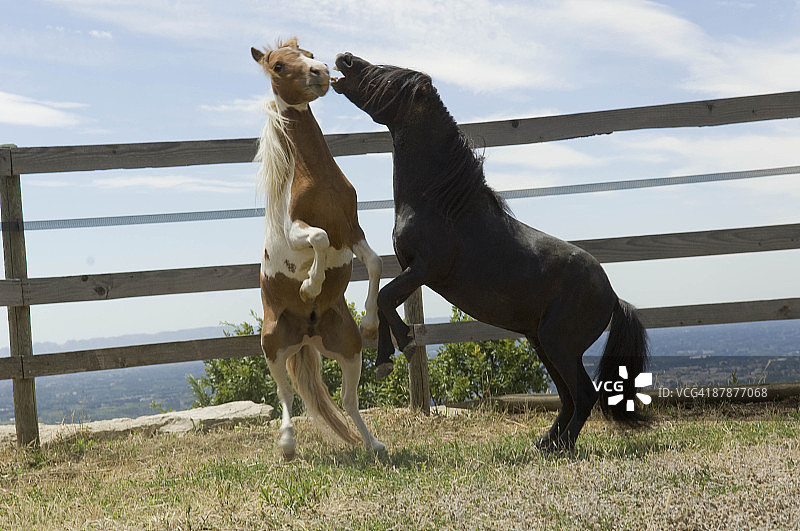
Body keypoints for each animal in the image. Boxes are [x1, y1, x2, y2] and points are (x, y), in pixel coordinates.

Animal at [250, 39, 385, 459]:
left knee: (347, 401)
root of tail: (307, 338)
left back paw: (374, 444)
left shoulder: (351, 228)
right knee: (286, 395)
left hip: (348, 348)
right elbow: (319, 240)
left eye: (307, 53)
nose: (322, 72)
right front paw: (310, 286)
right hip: (274, 347)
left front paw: (372, 321)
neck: (314, 177)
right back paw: (287, 445)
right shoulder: (297, 230)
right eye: (278, 66)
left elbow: (374, 262)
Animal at [331, 52, 649, 451]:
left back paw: (562, 447)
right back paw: (545, 443)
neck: (442, 204)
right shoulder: (412, 270)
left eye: (390, 78)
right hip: (544, 343)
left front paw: (403, 344)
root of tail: (613, 297)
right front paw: (385, 358)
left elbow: (386, 297)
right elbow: (383, 300)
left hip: (559, 345)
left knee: (584, 395)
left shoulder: (426, 268)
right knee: (568, 396)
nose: (345, 60)